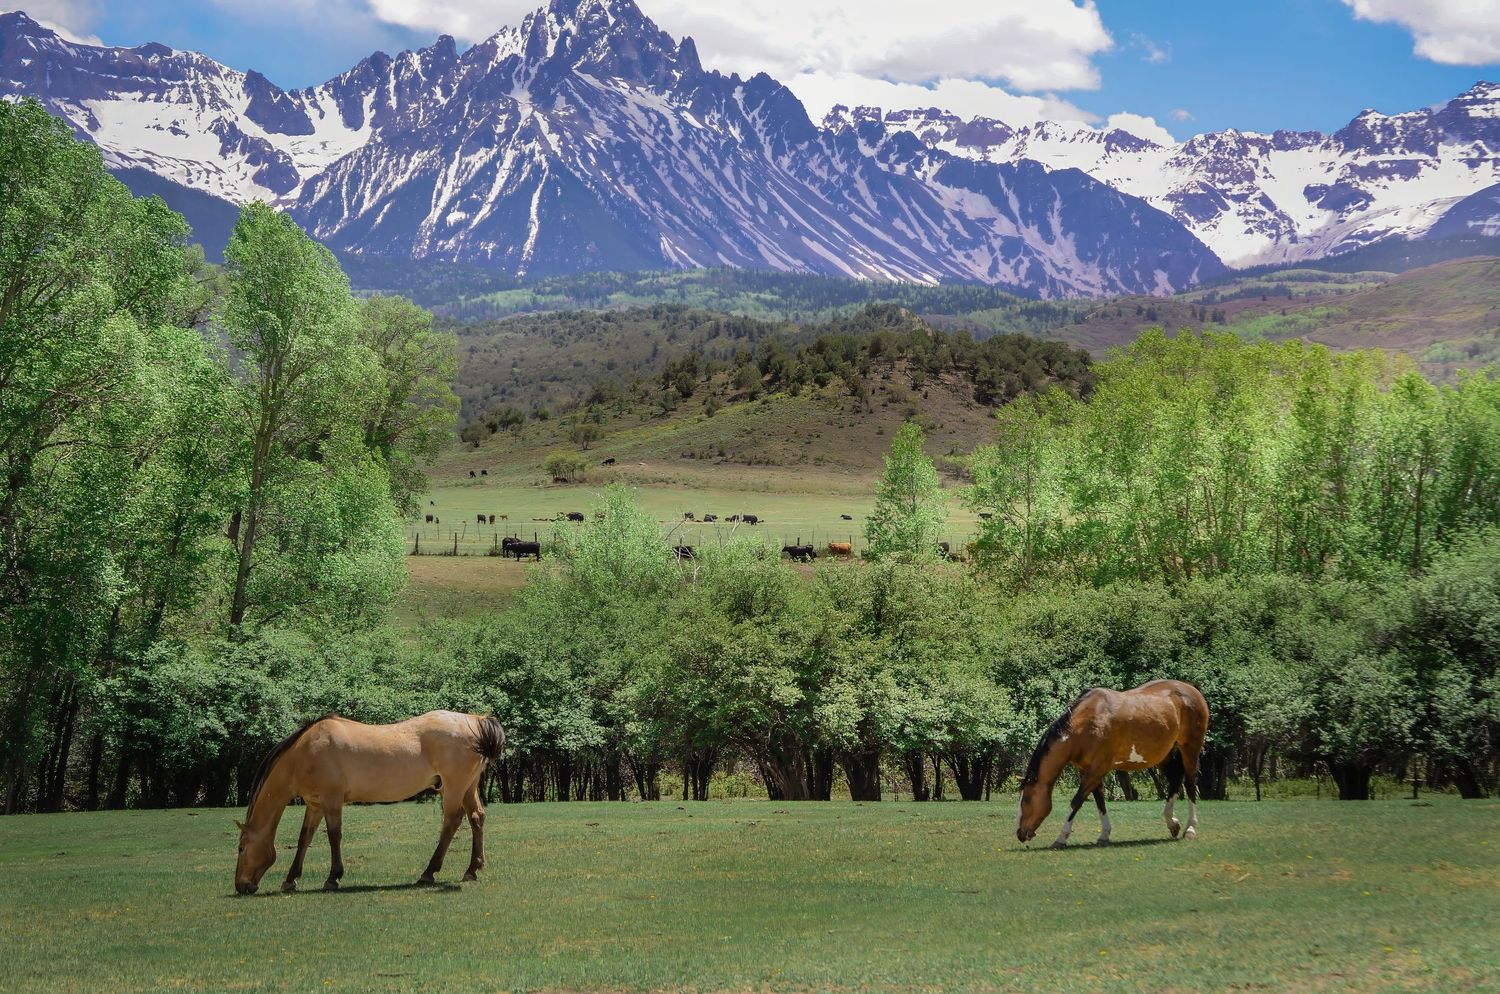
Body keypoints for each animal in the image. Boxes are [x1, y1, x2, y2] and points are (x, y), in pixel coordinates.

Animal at [234, 712, 505, 895]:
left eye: (241, 848)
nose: (241, 886)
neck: (305, 751)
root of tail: (476, 720)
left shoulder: (331, 800)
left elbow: (334, 836)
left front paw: (333, 878)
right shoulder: (315, 805)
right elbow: (304, 839)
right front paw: (290, 880)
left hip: (453, 788)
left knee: (451, 823)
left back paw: (428, 873)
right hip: (468, 787)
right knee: (476, 818)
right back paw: (471, 870)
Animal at [1016, 680, 1208, 849]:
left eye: (1026, 799)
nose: (1019, 833)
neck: (1086, 722)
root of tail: (1192, 689)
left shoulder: (1096, 770)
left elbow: (1076, 802)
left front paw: (1061, 838)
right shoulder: (1089, 771)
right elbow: (1100, 802)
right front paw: (1104, 835)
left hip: (1190, 749)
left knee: (1190, 782)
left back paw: (1190, 829)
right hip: (1164, 755)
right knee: (1175, 779)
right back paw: (1172, 823)